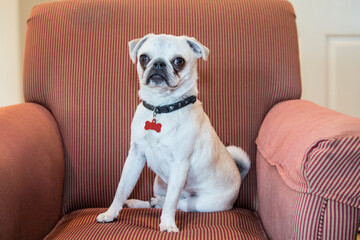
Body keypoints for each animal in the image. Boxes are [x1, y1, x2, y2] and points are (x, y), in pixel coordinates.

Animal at [97, 33, 252, 232]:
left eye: (179, 61)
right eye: (144, 58)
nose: (158, 63)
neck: (161, 107)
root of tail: (240, 178)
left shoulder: (179, 165)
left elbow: (171, 201)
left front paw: (168, 224)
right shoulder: (135, 157)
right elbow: (122, 188)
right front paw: (111, 213)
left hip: (200, 202)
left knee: (180, 203)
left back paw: (159, 204)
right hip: (158, 183)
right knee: (158, 198)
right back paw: (142, 202)